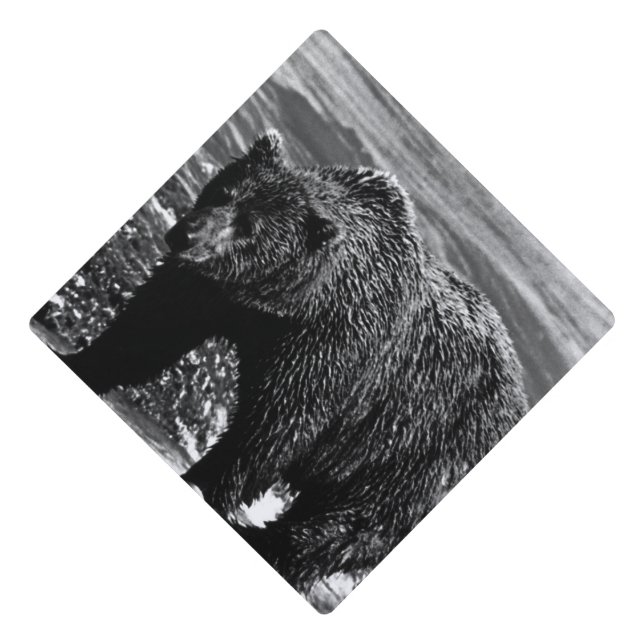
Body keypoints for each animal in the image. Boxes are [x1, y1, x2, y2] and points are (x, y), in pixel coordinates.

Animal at [56, 129, 528, 608]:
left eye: (250, 225)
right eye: (225, 191)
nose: (183, 234)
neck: (287, 300)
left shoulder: (333, 348)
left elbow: (274, 427)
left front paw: (204, 481)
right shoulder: (219, 292)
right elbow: (150, 328)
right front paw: (84, 359)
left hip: (422, 450)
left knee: (352, 523)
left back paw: (267, 542)